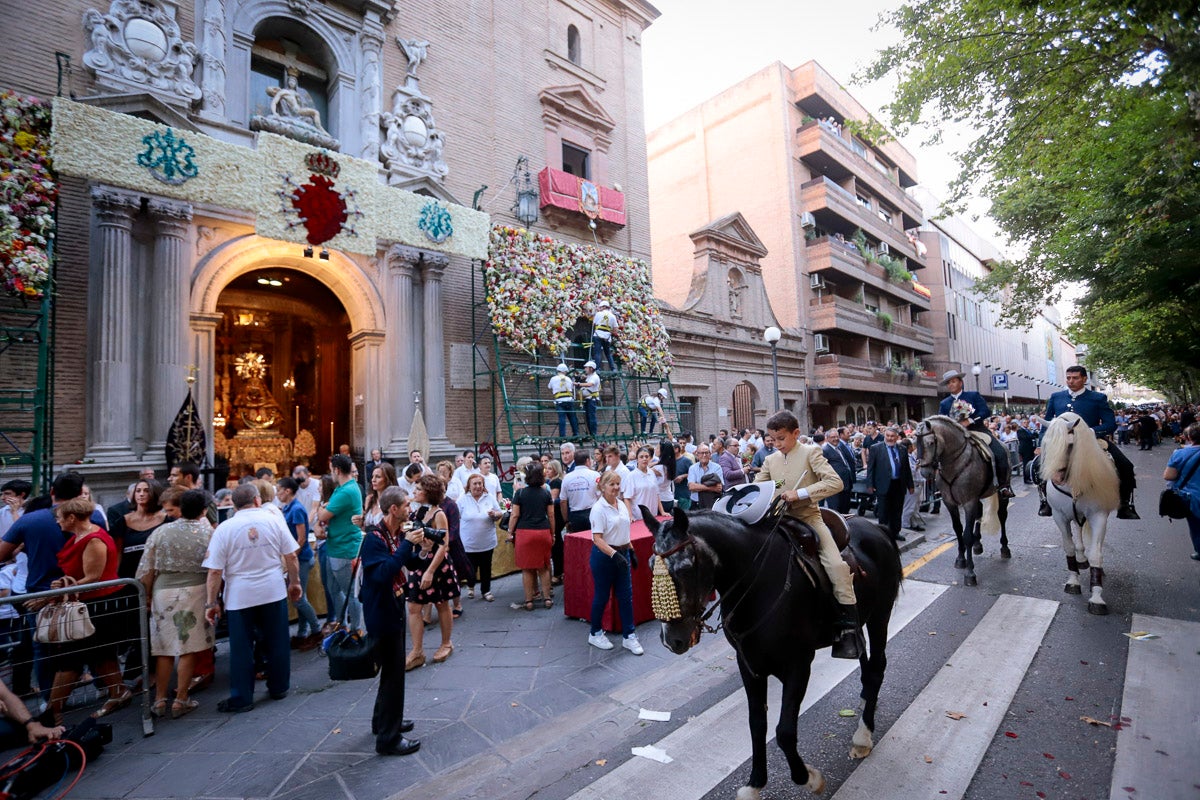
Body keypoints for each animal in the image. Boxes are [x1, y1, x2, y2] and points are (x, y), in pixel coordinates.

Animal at [648, 510, 902, 796]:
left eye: (685, 568)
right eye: (650, 565)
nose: (672, 640)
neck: (757, 584)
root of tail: (878, 528)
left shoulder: (798, 666)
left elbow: (785, 732)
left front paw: (809, 778)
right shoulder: (749, 665)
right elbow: (757, 724)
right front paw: (754, 784)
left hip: (880, 616)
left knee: (877, 669)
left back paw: (863, 737)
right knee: (866, 665)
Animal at [1041, 412, 1123, 614]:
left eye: (1070, 444)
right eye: (1045, 443)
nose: (1056, 478)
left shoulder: (1098, 516)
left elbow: (1096, 554)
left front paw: (1097, 597)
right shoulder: (1059, 516)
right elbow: (1069, 547)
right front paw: (1073, 581)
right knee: (1078, 532)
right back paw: (1080, 559)